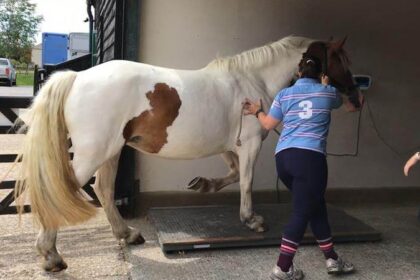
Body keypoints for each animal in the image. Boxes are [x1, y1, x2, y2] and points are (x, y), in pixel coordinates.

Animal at [13, 35, 360, 272]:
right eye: (341, 59)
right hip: (95, 152)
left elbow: (233, 174)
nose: (356, 95)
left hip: (111, 150)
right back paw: (51, 255)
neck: (252, 81)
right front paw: (251, 220)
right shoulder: (249, 145)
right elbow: (246, 181)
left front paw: (204, 184)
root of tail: (77, 77)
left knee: (103, 189)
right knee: (65, 191)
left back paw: (126, 234)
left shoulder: (228, 148)